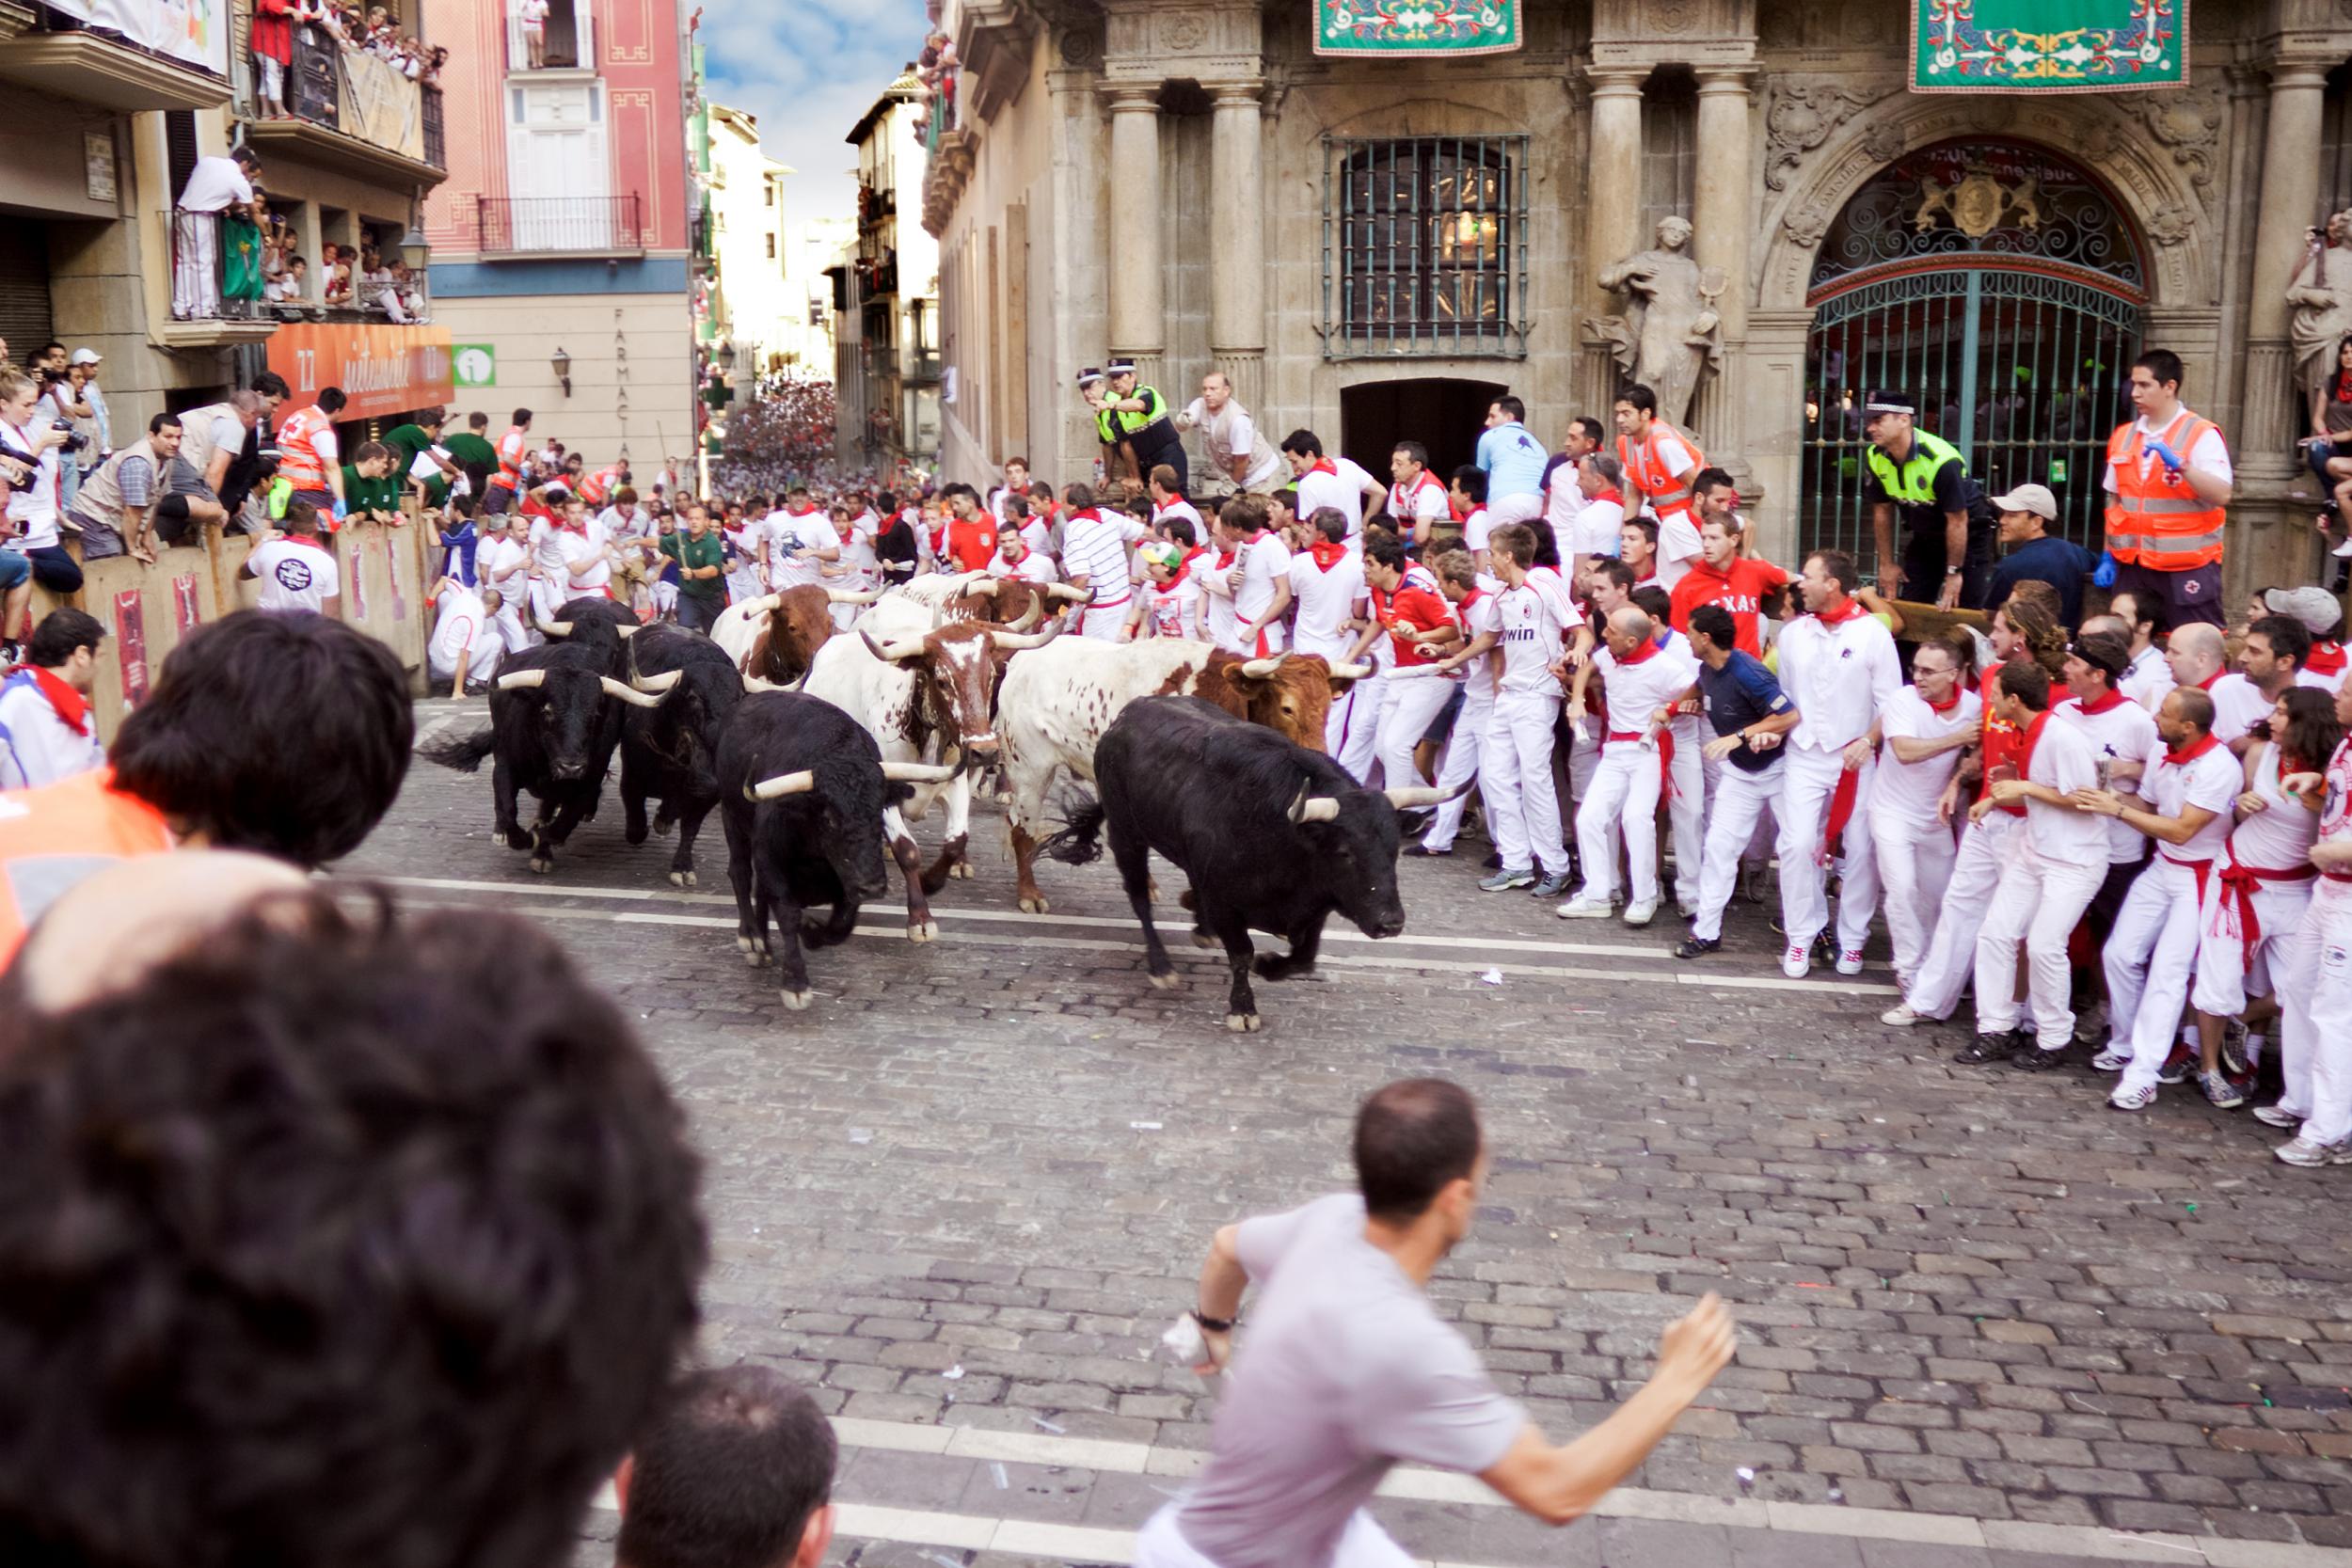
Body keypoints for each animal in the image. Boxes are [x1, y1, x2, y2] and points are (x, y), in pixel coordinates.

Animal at [1040, 695, 1458, 1029]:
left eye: (1394, 849)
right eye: (1344, 852)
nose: (1391, 923)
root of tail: (1127, 714)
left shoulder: (1315, 907)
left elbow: (1304, 958)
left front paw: (1270, 966)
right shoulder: (1228, 903)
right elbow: (1242, 954)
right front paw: (1242, 1009)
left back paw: (1201, 927)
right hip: (1126, 833)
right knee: (1139, 895)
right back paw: (1161, 967)